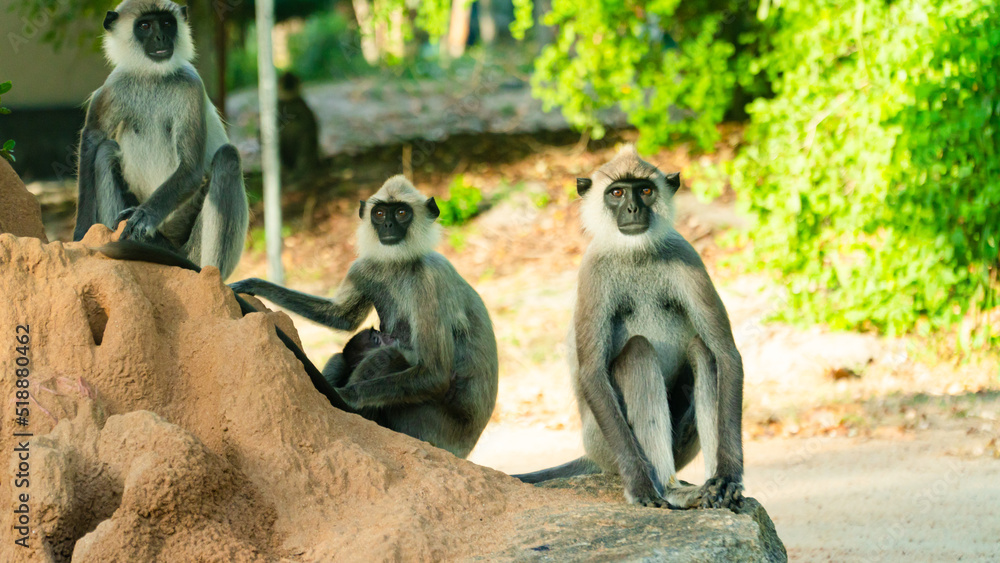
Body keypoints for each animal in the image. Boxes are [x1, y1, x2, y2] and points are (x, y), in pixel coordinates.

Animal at [74, 0, 250, 280]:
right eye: (145, 25)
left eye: (167, 23)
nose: (161, 37)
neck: (152, 76)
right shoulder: (115, 85)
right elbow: (93, 139)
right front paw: (81, 233)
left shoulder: (191, 86)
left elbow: (191, 168)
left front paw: (144, 216)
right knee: (106, 150)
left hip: (190, 242)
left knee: (227, 157)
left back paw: (207, 274)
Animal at [516, 145, 744, 512]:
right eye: (617, 193)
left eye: (645, 190)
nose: (633, 208)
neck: (636, 253)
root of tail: (591, 454)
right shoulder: (592, 271)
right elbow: (592, 372)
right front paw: (640, 486)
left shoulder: (686, 254)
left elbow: (726, 356)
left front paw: (728, 479)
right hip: (603, 442)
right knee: (638, 351)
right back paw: (670, 490)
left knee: (704, 351)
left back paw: (709, 489)